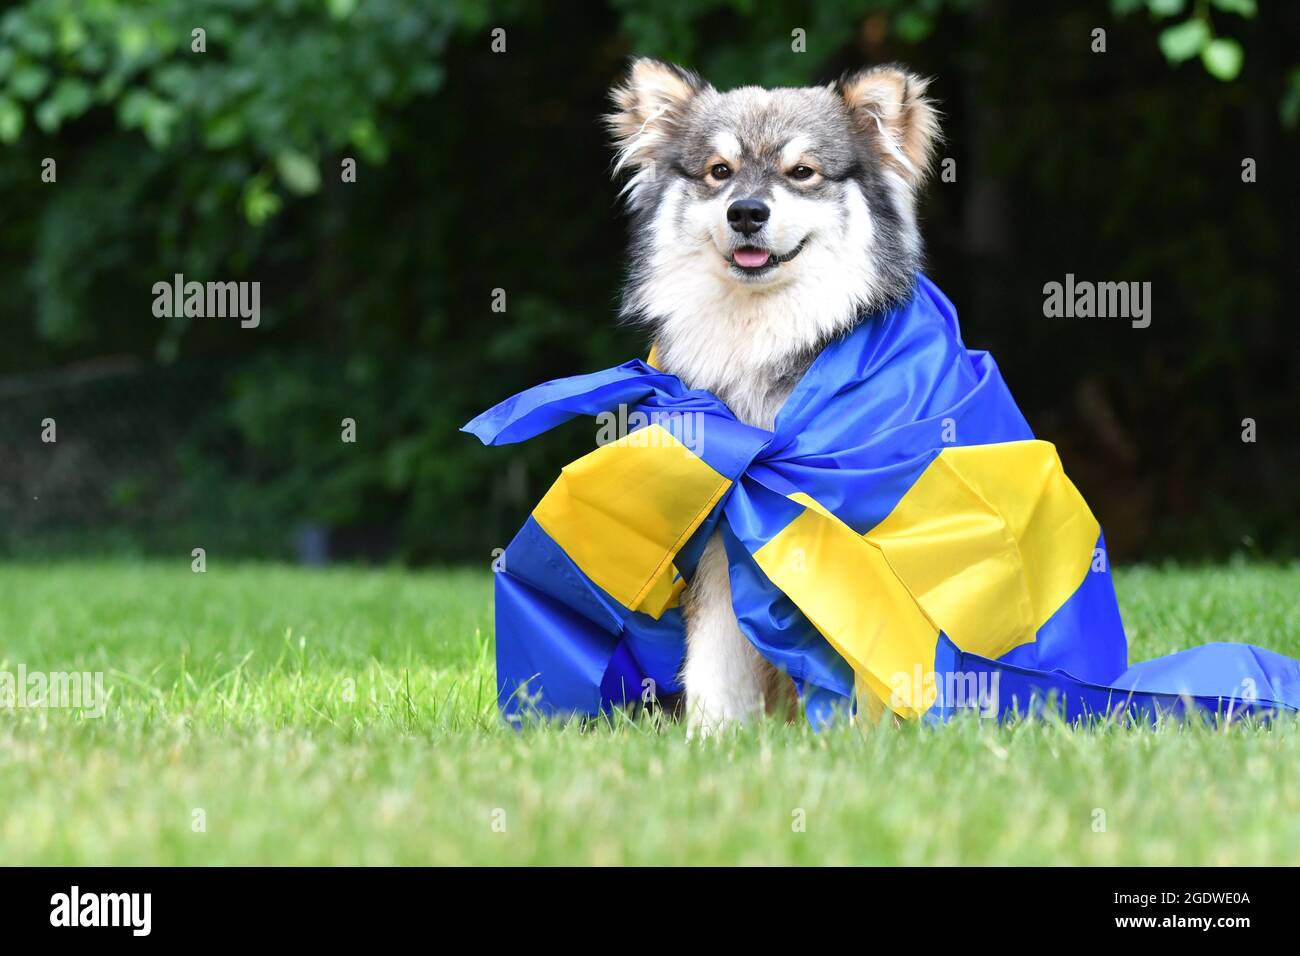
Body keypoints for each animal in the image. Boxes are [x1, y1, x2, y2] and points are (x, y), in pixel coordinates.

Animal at [603, 57, 941, 733]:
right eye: (719, 172)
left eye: (802, 172)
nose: (747, 212)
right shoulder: (721, 539)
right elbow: (714, 660)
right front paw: (711, 739)